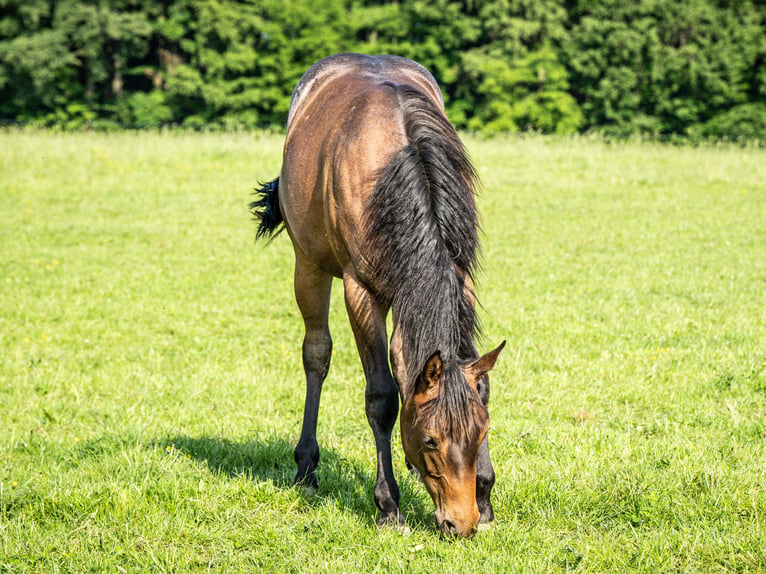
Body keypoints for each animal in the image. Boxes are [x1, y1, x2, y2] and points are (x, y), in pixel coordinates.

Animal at [250, 54, 504, 540]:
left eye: (481, 433)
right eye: (430, 439)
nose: (460, 524)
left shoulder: (459, 276)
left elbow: (475, 381)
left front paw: (485, 496)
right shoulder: (360, 290)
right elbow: (382, 397)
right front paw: (389, 506)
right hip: (308, 266)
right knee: (317, 354)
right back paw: (306, 468)